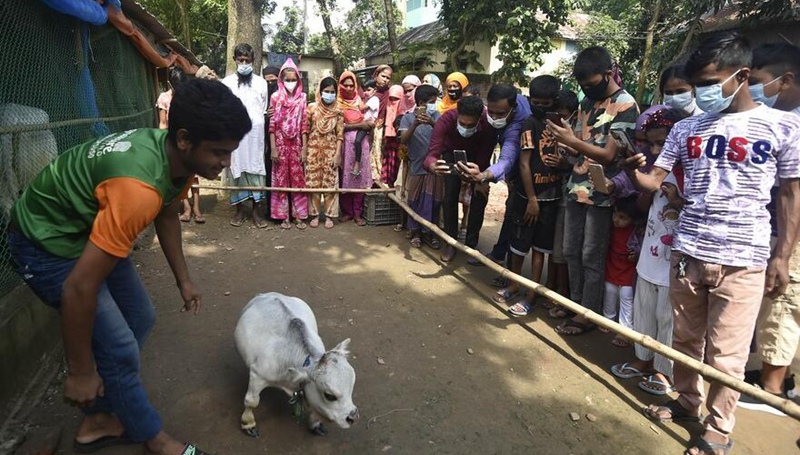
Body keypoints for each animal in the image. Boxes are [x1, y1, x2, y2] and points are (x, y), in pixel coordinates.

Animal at [231, 294, 356, 436]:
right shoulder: (258, 375)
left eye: (352, 386)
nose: (353, 417)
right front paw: (248, 423)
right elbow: (251, 401)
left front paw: (315, 423)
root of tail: (270, 294)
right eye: (329, 395)